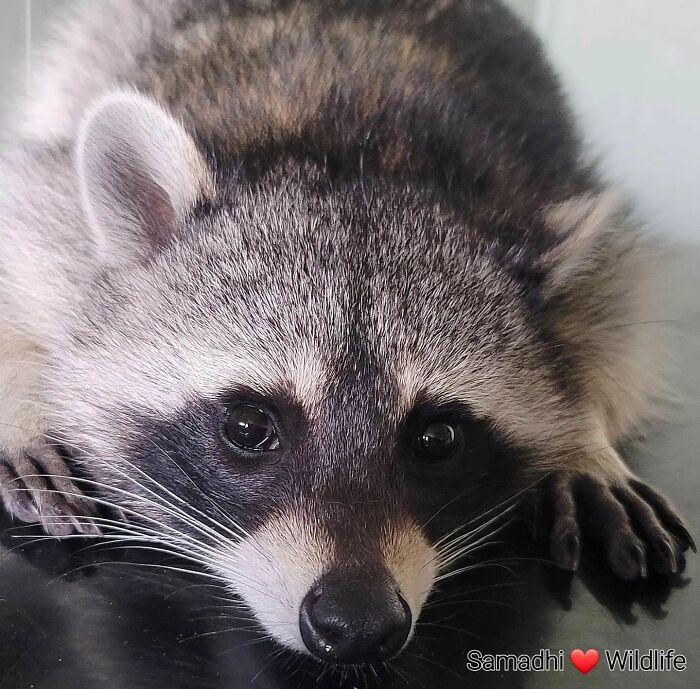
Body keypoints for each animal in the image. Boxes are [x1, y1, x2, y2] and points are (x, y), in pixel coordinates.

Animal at [0, 0, 693, 666]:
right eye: (247, 427)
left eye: (438, 439)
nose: (357, 626)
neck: (358, 154)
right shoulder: (55, 205)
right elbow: (23, 237)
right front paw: (21, 402)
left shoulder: (555, 204)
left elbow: (619, 306)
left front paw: (584, 439)